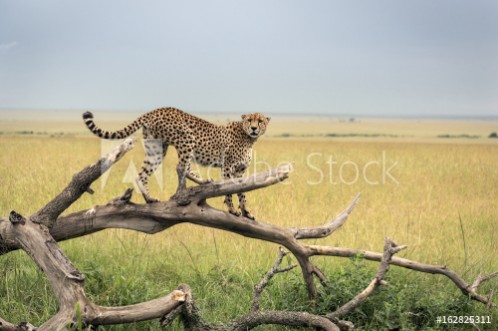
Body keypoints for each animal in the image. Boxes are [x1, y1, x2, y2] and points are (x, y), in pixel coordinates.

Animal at [81, 108, 270, 220]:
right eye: (250, 120)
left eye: (260, 121)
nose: (254, 128)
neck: (249, 137)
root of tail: (157, 109)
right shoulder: (228, 167)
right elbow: (230, 190)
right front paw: (232, 210)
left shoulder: (240, 171)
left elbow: (242, 192)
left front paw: (246, 212)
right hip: (187, 138)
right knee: (180, 167)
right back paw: (183, 192)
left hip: (157, 149)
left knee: (143, 173)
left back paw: (150, 198)